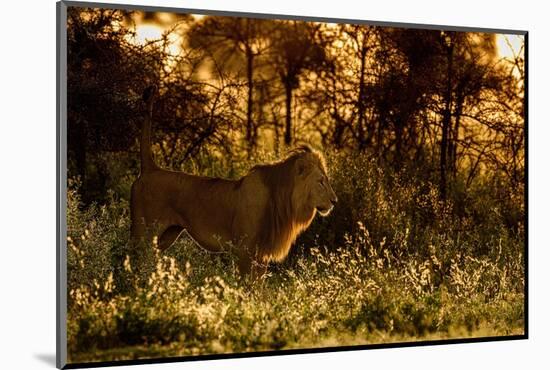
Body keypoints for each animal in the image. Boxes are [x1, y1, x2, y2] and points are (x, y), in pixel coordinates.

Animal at [132, 86, 338, 278]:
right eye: (320, 182)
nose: (335, 201)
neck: (283, 201)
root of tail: (150, 168)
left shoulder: (261, 255)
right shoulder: (245, 251)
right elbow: (246, 284)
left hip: (166, 236)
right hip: (143, 233)